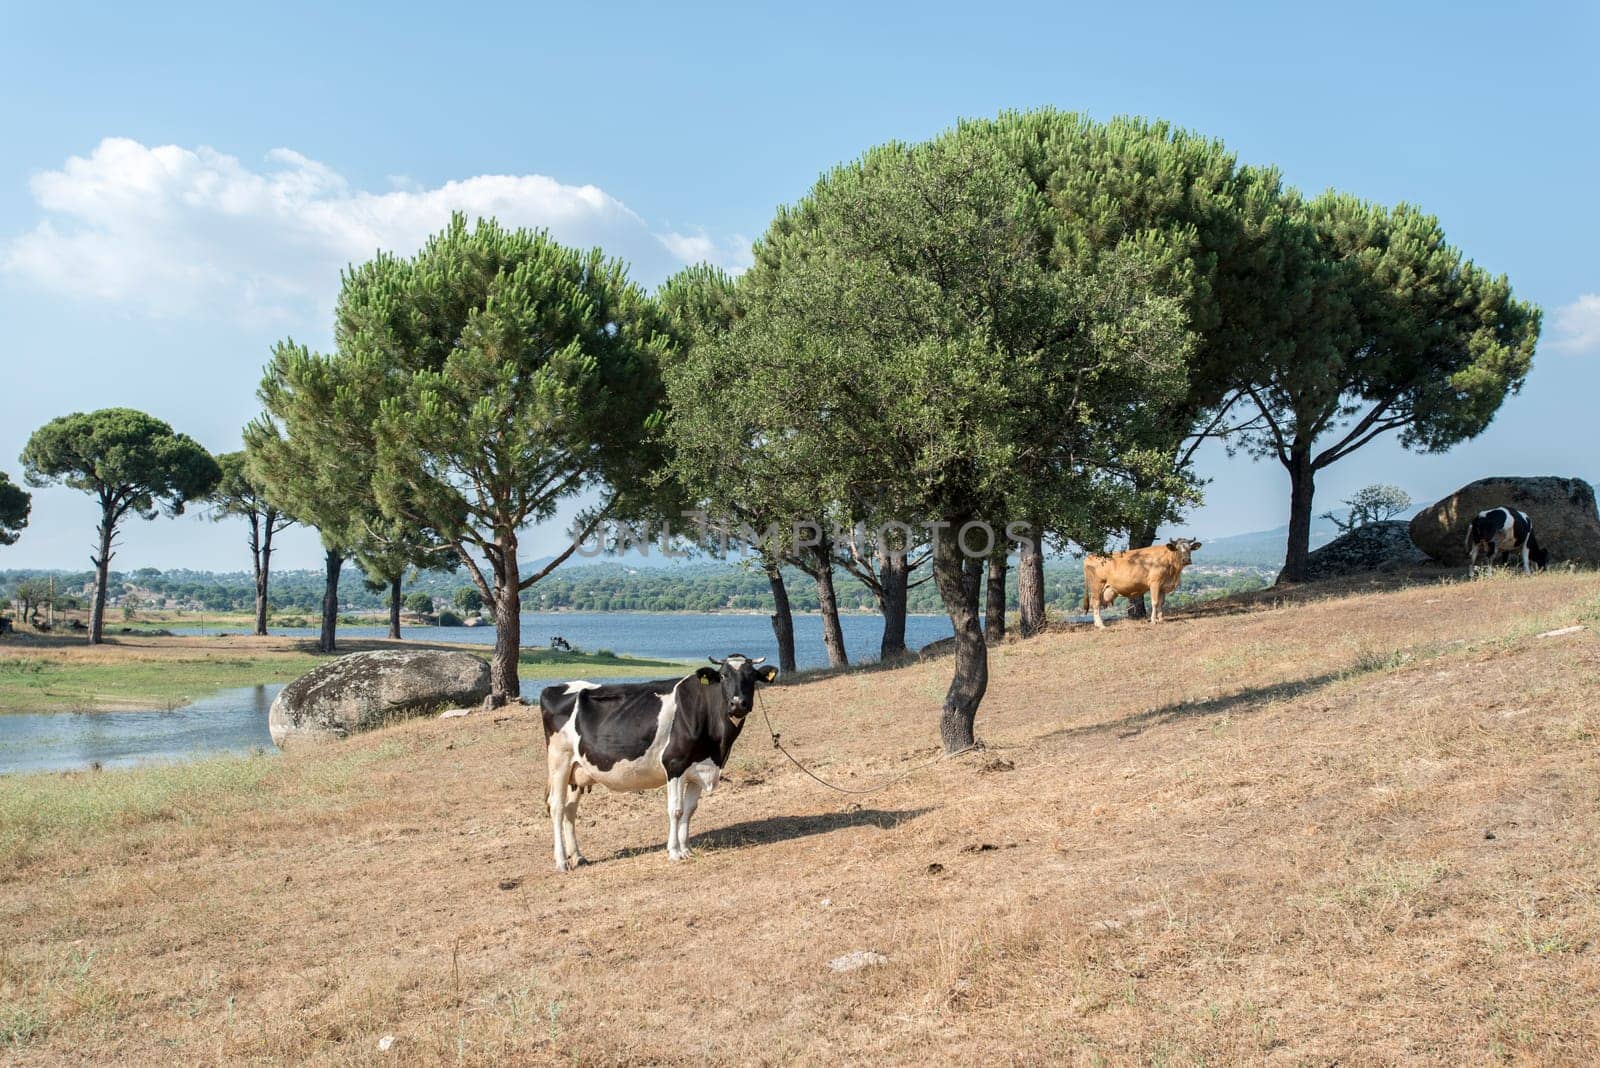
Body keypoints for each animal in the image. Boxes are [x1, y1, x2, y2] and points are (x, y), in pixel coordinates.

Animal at [540, 652, 777, 869]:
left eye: (751, 676)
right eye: (724, 675)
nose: (738, 704)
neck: (717, 747)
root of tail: (553, 688)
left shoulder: (698, 769)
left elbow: (690, 809)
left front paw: (687, 849)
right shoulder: (675, 764)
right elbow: (676, 810)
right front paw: (674, 852)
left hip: (576, 771)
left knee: (570, 810)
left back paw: (578, 856)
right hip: (559, 761)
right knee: (557, 807)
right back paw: (561, 861)